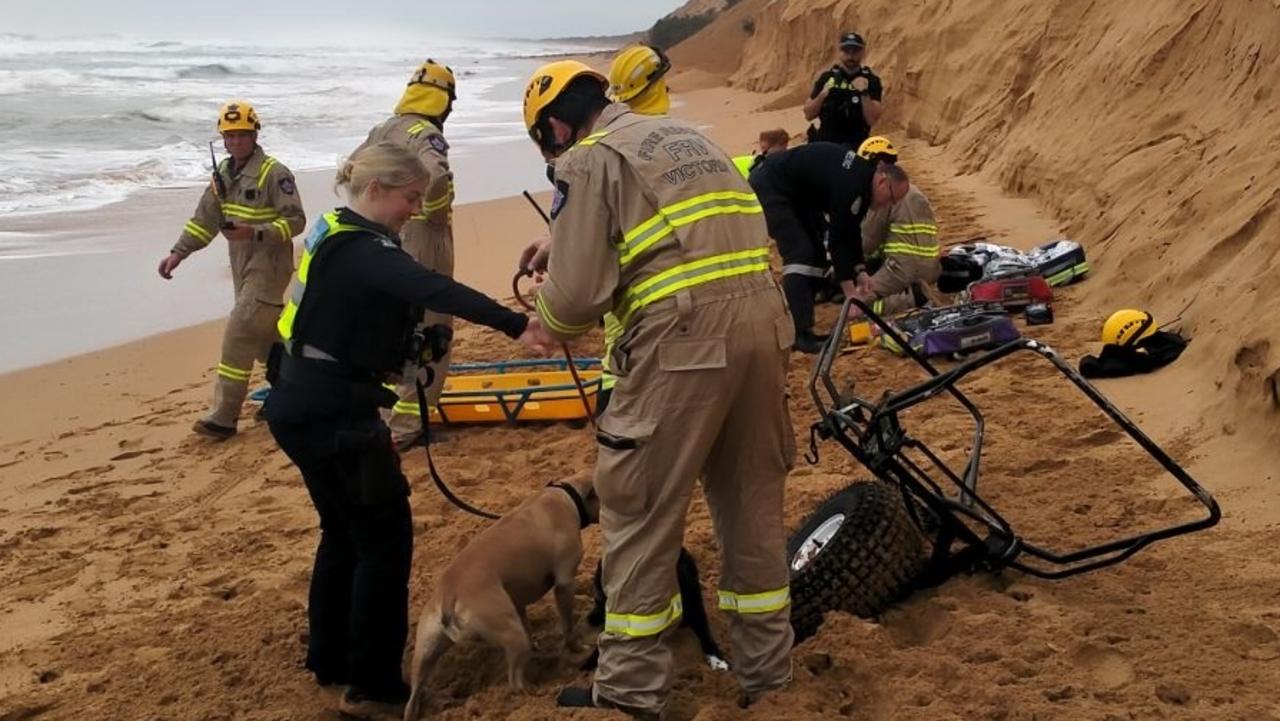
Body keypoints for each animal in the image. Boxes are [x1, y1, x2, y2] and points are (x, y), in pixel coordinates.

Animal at [401, 471, 596, 717]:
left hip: (425, 654)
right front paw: (576, 648)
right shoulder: (565, 583)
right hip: (511, 634)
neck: (565, 493)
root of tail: (448, 592)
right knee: (514, 681)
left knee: (412, 698)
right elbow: (568, 627)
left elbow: (528, 626)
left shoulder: (518, 603)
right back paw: (534, 694)